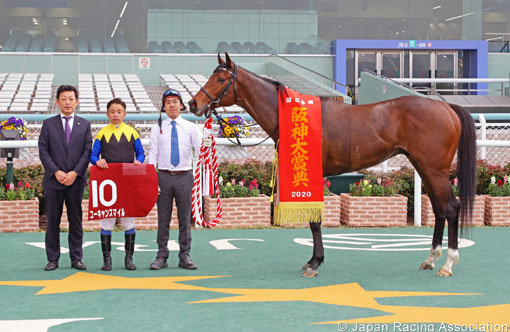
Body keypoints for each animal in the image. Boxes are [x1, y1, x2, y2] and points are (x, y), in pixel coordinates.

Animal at [189, 53, 476, 278]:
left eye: (222, 79)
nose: (193, 103)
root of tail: (446, 107)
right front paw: (313, 260)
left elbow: (315, 221)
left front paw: (314, 263)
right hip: (423, 167)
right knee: (439, 210)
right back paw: (430, 259)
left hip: (434, 170)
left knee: (451, 208)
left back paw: (448, 264)